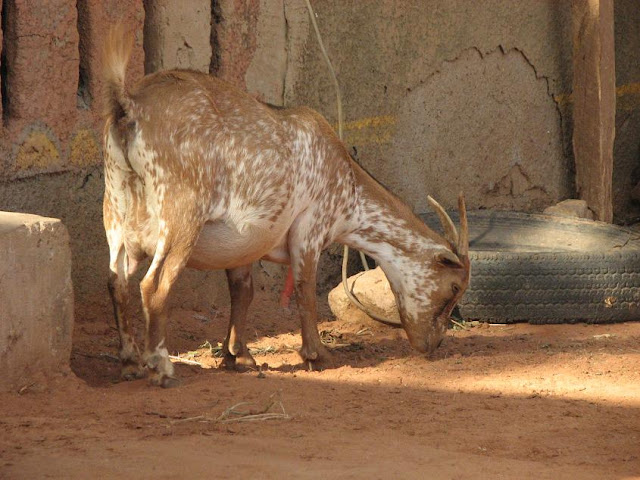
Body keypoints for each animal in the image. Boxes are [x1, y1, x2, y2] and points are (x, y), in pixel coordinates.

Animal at [102, 26, 470, 387]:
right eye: (454, 288)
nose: (432, 345)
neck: (349, 184)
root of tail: (129, 106)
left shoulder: (243, 243)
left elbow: (243, 291)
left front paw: (238, 356)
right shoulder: (311, 225)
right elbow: (305, 288)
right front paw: (317, 356)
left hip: (115, 213)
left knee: (116, 282)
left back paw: (130, 363)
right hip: (180, 216)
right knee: (153, 286)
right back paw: (160, 367)